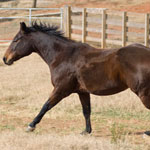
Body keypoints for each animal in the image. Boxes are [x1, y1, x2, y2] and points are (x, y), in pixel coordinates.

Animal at [2, 21, 150, 135]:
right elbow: (86, 111)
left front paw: (31, 126)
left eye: (16, 39)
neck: (64, 56)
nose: (5, 58)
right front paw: (86, 131)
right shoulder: (82, 92)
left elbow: (46, 106)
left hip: (143, 93)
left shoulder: (61, 90)